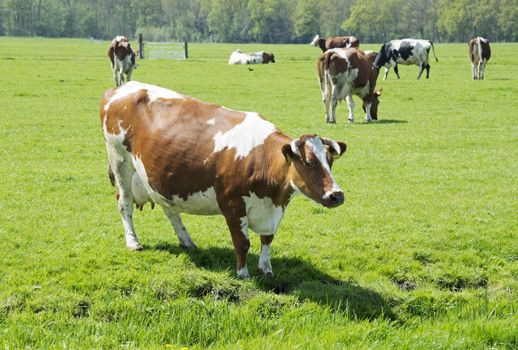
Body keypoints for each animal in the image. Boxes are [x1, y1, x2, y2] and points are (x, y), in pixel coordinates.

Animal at [100, 81, 350, 278]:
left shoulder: (273, 209)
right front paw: (243, 273)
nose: (336, 195)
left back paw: (187, 241)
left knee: (169, 209)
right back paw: (133, 242)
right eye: (308, 162)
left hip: (156, 179)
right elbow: (242, 242)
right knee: (124, 202)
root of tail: (121, 88)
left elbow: (267, 239)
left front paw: (266, 269)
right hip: (119, 160)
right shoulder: (232, 204)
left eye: (330, 160)